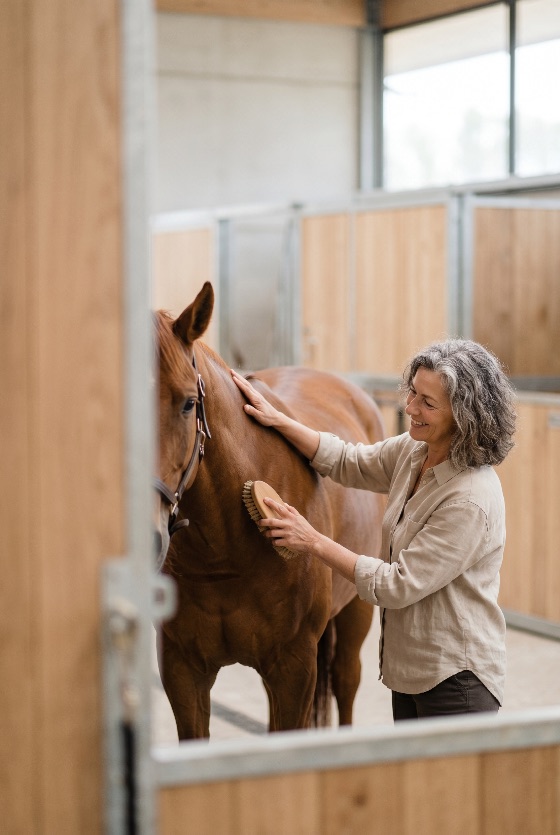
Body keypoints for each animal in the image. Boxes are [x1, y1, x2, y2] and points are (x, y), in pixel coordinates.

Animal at [154, 282, 385, 739]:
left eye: (188, 403)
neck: (226, 550)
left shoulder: (294, 669)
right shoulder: (182, 671)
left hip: (357, 611)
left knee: (347, 682)